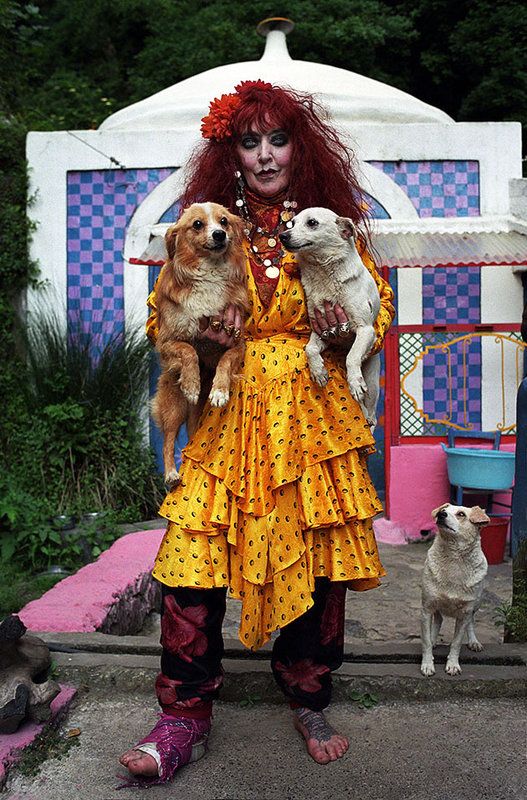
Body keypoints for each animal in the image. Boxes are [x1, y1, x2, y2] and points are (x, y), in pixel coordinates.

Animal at [152, 203, 249, 484]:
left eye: (224, 221)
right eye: (197, 224)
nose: (219, 234)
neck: (210, 273)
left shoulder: (236, 341)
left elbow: (225, 361)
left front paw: (219, 390)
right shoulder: (167, 342)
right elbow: (188, 351)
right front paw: (192, 383)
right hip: (174, 406)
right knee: (169, 439)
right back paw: (172, 474)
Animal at [278, 209, 382, 428]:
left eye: (312, 223)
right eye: (292, 223)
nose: (283, 235)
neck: (323, 272)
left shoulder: (365, 330)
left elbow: (352, 357)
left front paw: (355, 382)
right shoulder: (321, 330)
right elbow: (310, 349)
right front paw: (318, 371)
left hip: (372, 384)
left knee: (370, 411)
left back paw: (368, 415)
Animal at [420, 504, 490, 680]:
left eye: (461, 514)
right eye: (443, 510)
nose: (441, 514)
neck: (453, 558)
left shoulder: (464, 613)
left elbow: (457, 643)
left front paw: (452, 665)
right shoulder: (426, 608)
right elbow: (425, 642)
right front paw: (427, 664)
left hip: (477, 603)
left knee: (471, 621)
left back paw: (474, 642)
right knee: (438, 620)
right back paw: (434, 639)